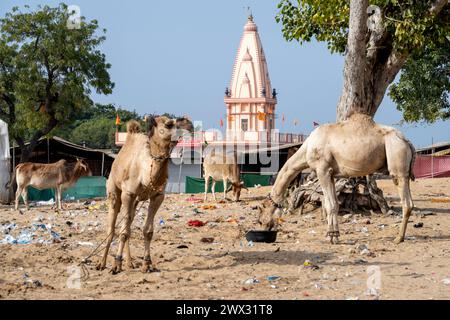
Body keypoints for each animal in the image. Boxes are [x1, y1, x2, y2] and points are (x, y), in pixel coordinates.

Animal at [96, 116, 192, 274]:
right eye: (168, 124)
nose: (189, 124)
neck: (145, 172)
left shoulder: (158, 196)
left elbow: (147, 231)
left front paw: (147, 264)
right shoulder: (128, 194)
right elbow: (123, 232)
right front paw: (116, 264)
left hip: (135, 202)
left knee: (128, 223)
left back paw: (130, 263)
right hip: (114, 191)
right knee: (112, 227)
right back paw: (102, 264)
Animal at [258, 114, 416, 244]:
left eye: (261, 213)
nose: (263, 228)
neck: (307, 146)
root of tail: (407, 141)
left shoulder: (322, 169)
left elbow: (331, 204)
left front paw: (332, 237)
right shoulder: (332, 174)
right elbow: (334, 204)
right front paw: (334, 234)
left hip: (397, 157)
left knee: (405, 201)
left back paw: (398, 238)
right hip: (405, 168)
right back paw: (401, 236)